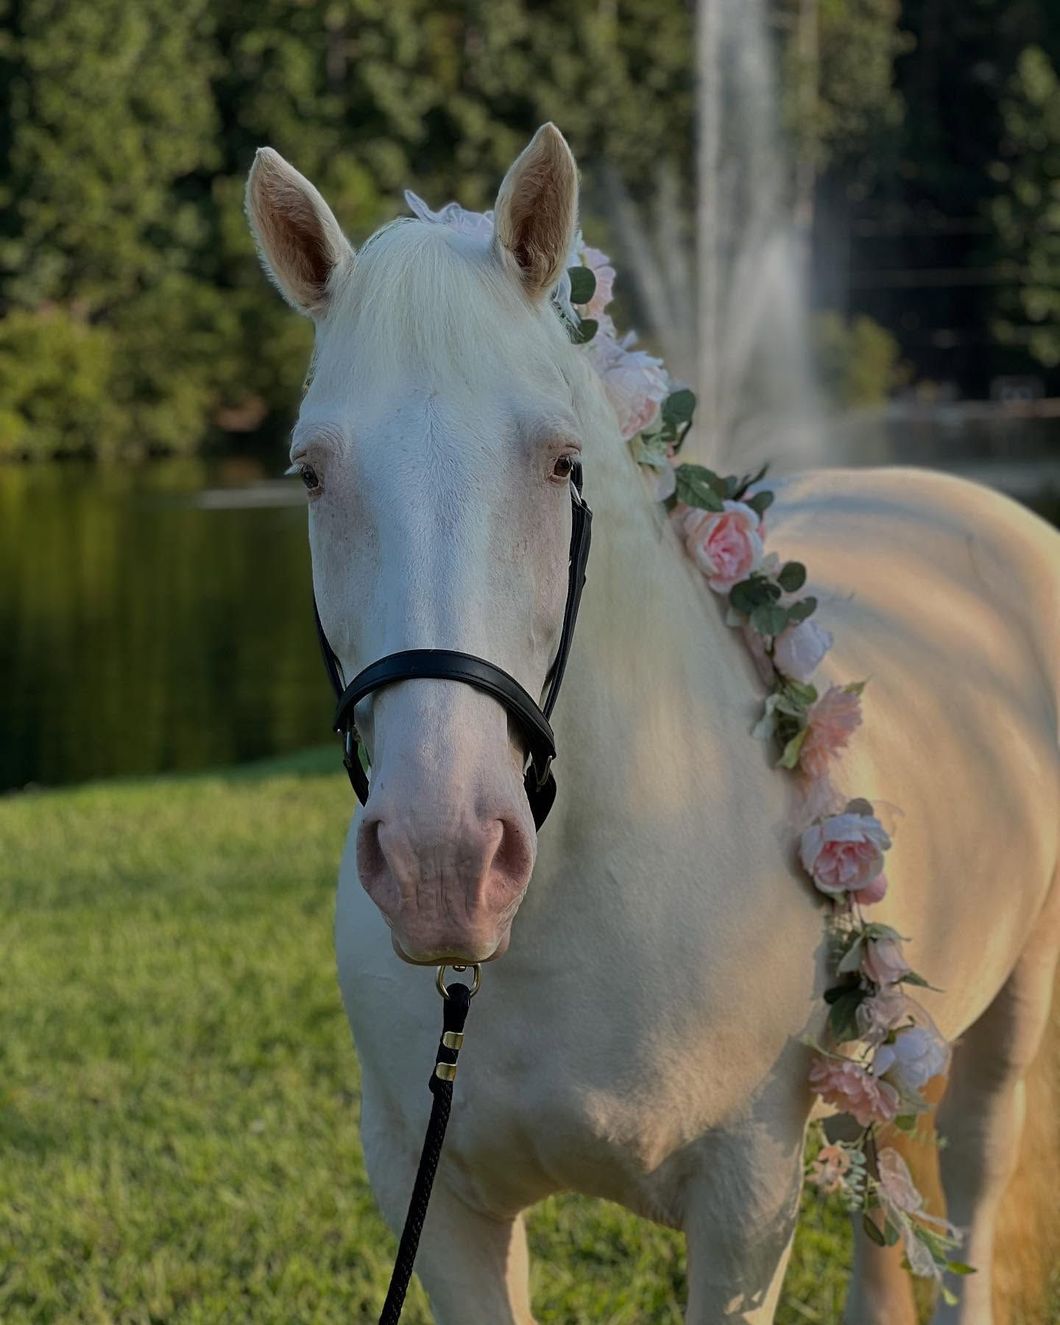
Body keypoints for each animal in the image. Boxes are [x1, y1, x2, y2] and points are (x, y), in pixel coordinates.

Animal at [245, 125, 1060, 1324]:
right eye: (309, 473)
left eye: (561, 460)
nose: (445, 859)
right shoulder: (435, 1198)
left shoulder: (744, 1207)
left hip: (1004, 1022)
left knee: (970, 1186)